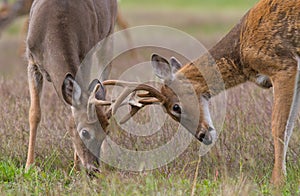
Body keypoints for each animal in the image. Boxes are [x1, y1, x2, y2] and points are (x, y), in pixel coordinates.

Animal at [25, 0, 118, 172]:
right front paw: (29, 166)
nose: (94, 169)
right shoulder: (32, 61)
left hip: (108, 37)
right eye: (85, 132)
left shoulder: (86, 55)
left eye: (105, 133)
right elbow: (34, 113)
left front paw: (75, 167)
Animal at [94, 0, 300, 185]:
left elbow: (279, 126)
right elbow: (289, 127)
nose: (202, 136)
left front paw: (277, 182)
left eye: (176, 107)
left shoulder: (282, 65)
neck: (241, 50)